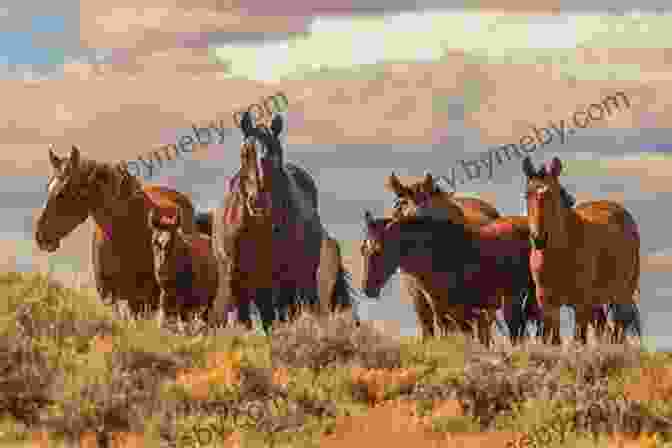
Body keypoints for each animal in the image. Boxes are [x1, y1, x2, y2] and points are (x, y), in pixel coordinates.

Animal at [210, 112, 356, 332]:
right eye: (245, 154)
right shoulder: (236, 279)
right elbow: (245, 320)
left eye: (275, 154)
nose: (258, 201)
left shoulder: (281, 279)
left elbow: (276, 318)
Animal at [520, 156, 640, 344]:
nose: (539, 239)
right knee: (605, 329)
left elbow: (579, 340)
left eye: (552, 194)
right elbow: (554, 340)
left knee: (618, 330)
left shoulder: (581, 304)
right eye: (527, 194)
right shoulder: (548, 304)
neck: (560, 254)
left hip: (623, 294)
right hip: (598, 302)